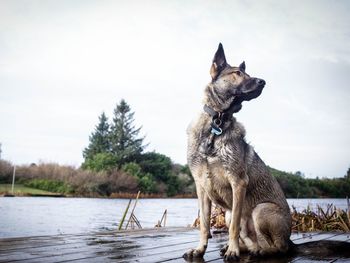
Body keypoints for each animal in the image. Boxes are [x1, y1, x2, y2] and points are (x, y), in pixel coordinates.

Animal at [185, 42, 292, 260]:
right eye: (237, 73)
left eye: (246, 73)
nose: (263, 82)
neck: (217, 122)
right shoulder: (201, 187)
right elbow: (204, 225)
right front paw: (200, 249)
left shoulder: (238, 182)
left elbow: (234, 226)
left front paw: (233, 251)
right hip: (227, 213)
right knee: (252, 240)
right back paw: (247, 248)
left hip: (260, 209)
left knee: (278, 247)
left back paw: (257, 250)